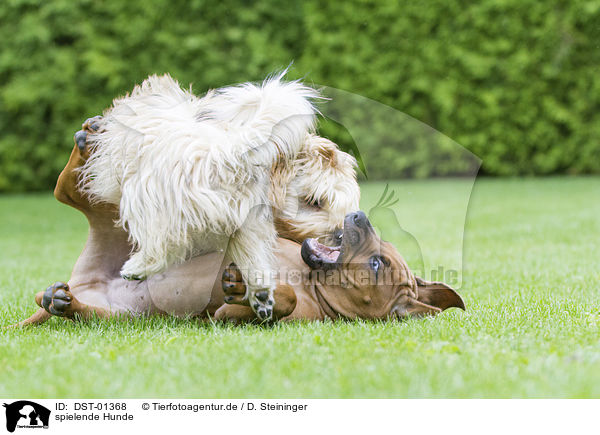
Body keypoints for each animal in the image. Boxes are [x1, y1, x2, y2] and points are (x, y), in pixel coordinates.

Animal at [12, 119, 464, 328]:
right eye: (379, 252)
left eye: (376, 264)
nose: (357, 216)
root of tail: (87, 283)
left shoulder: (227, 317)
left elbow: (278, 301)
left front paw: (255, 292)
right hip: (107, 223)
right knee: (69, 190)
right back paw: (90, 138)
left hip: (118, 315)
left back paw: (62, 301)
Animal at [79, 74, 358, 320]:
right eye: (314, 202)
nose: (340, 235)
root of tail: (232, 152)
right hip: (249, 223)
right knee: (254, 258)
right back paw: (261, 296)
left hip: (148, 194)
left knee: (163, 243)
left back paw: (137, 267)